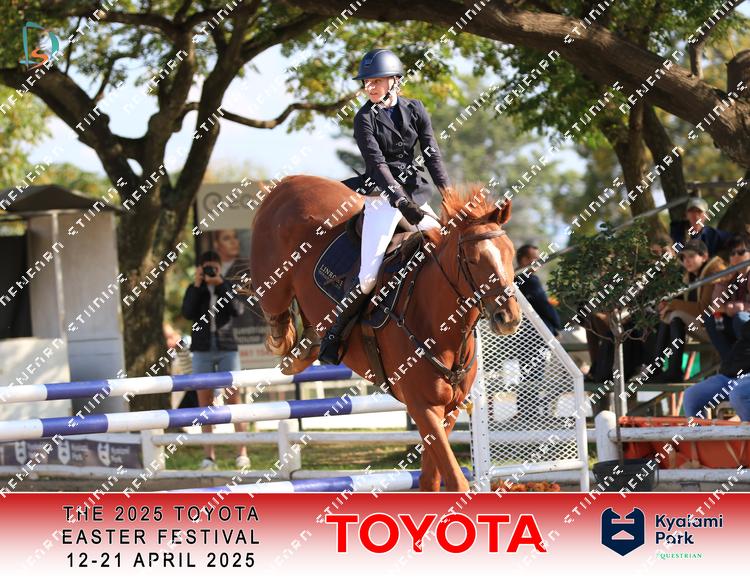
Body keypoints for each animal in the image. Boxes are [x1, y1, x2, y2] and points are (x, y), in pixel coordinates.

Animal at [249, 175, 521, 491]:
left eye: (510, 254)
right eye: (473, 260)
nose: (509, 318)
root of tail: (290, 182)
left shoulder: (449, 410)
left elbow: (430, 478)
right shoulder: (423, 407)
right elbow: (455, 481)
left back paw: (310, 347)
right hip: (273, 286)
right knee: (276, 313)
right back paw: (289, 347)